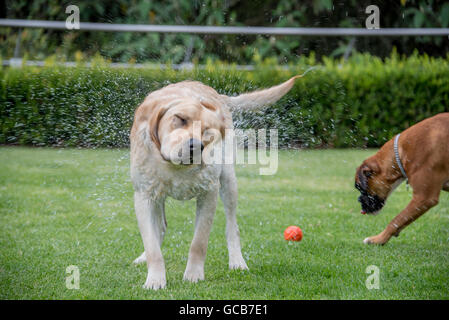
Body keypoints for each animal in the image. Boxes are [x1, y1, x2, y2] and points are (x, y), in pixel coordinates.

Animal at [354, 113, 448, 245]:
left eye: (359, 187)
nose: (358, 199)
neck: (401, 151)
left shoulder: (424, 198)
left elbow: (396, 220)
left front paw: (378, 239)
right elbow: (402, 220)